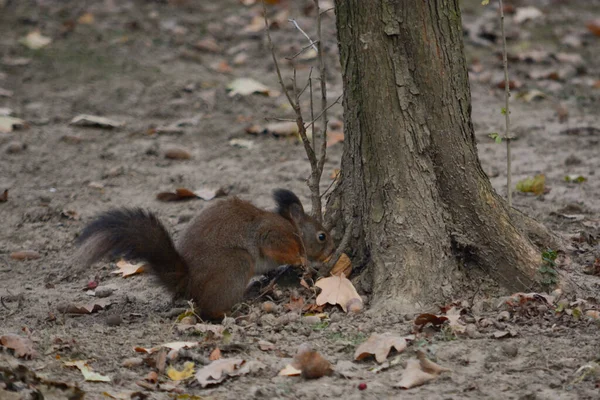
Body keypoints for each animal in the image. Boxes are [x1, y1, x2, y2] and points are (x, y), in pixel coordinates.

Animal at [74, 189, 332, 320]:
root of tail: (189, 281)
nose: (330, 252)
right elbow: (277, 249)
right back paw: (231, 311)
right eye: (322, 236)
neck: (295, 229)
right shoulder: (274, 235)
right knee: (209, 309)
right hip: (237, 264)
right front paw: (302, 260)